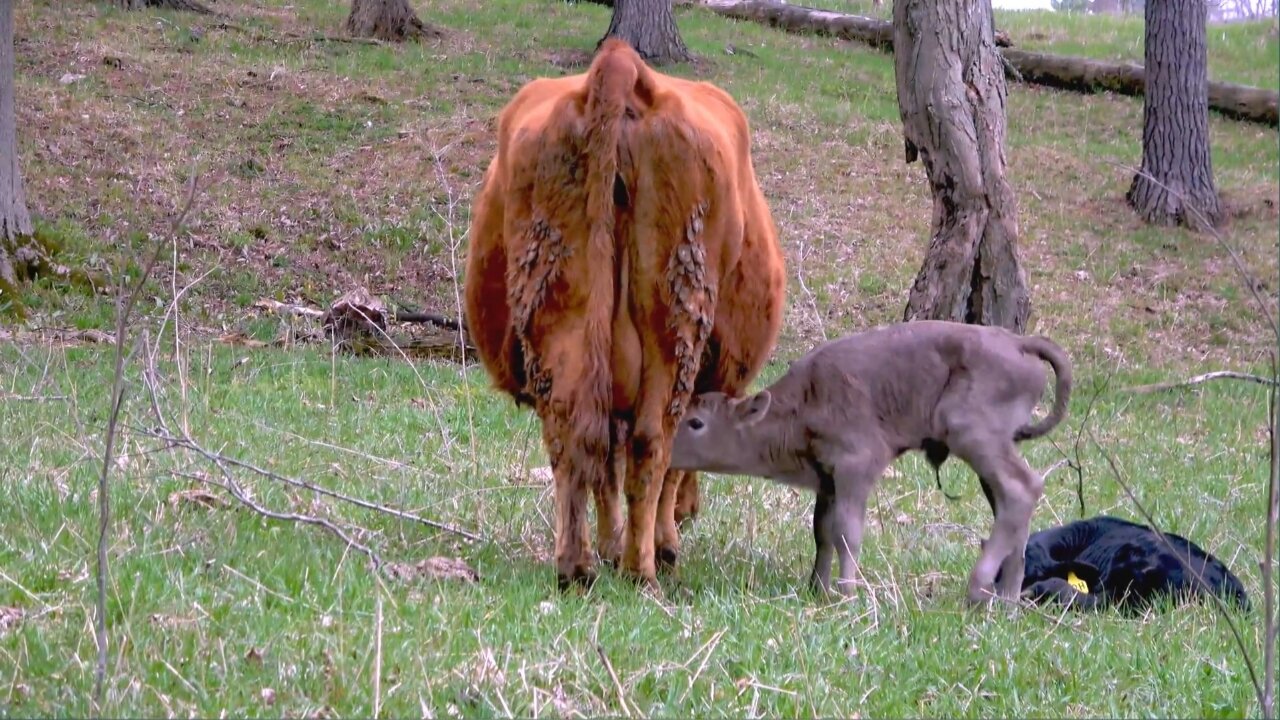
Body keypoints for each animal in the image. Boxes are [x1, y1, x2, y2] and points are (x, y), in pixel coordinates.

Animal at [460, 40, 778, 589]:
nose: (693, 514)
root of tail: (620, 65)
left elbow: (606, 464)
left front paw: (613, 544)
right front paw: (664, 543)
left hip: (557, 312)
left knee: (573, 437)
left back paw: (578, 566)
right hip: (677, 325)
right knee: (654, 442)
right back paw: (641, 568)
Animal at [670, 317, 1070, 599]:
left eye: (696, 422)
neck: (803, 404)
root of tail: (1018, 342)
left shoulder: (856, 466)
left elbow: (847, 532)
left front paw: (846, 593)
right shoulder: (827, 479)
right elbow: (821, 532)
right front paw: (817, 588)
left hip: (974, 435)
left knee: (1022, 489)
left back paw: (978, 587)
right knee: (1011, 505)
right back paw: (1007, 600)